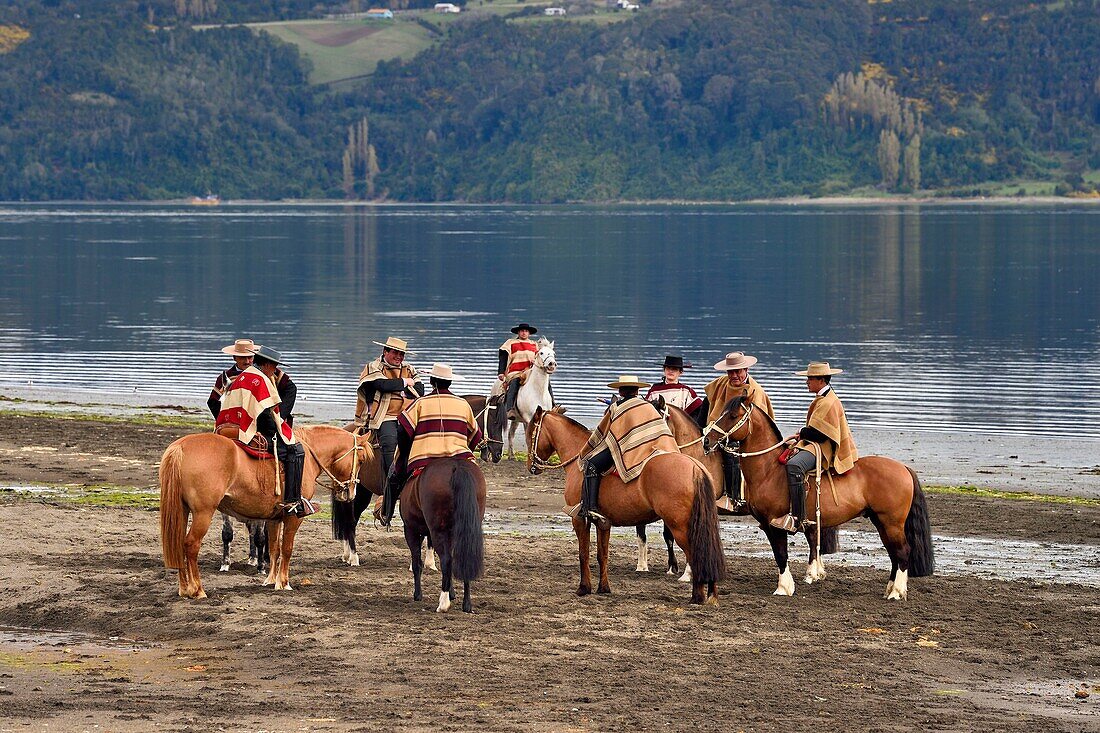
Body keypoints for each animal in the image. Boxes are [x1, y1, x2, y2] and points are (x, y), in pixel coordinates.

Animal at [159, 420, 374, 598]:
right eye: (361, 460)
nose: (350, 493)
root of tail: (179, 447)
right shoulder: (293, 517)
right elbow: (287, 548)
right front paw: (284, 583)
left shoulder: (274, 518)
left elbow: (274, 548)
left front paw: (271, 580)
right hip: (204, 513)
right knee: (191, 545)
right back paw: (197, 589)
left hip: (182, 510)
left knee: (178, 543)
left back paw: (184, 588)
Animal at [400, 457, 486, 611]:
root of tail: (458, 467)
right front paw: (452, 593)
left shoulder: (411, 530)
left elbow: (417, 563)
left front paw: (418, 594)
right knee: (463, 558)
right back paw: (467, 604)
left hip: (437, 531)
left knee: (446, 560)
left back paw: (443, 603)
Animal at [525, 402, 726, 603]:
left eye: (530, 433)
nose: (531, 466)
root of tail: (695, 467)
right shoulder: (603, 523)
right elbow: (602, 555)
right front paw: (603, 588)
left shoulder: (579, 519)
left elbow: (583, 554)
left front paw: (584, 588)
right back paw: (711, 595)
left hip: (680, 528)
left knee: (697, 556)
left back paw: (697, 596)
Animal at [704, 396, 937, 598]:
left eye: (733, 415)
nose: (707, 441)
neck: (769, 470)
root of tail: (903, 468)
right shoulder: (767, 525)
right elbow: (781, 553)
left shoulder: (774, 524)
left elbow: (781, 554)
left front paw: (784, 587)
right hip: (881, 521)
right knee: (893, 553)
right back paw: (890, 588)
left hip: (892, 522)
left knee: (902, 551)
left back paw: (896, 592)